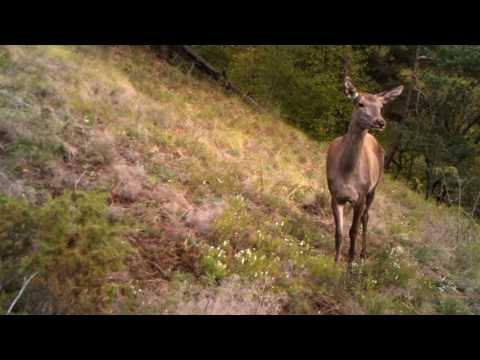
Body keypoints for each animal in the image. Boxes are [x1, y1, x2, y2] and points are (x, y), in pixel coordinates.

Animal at [326, 76, 404, 264]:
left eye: (381, 106)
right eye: (360, 103)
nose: (380, 122)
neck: (347, 173)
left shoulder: (360, 196)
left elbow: (353, 231)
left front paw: (350, 263)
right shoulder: (334, 194)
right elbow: (339, 232)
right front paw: (335, 262)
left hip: (374, 187)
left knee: (366, 217)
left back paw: (363, 254)